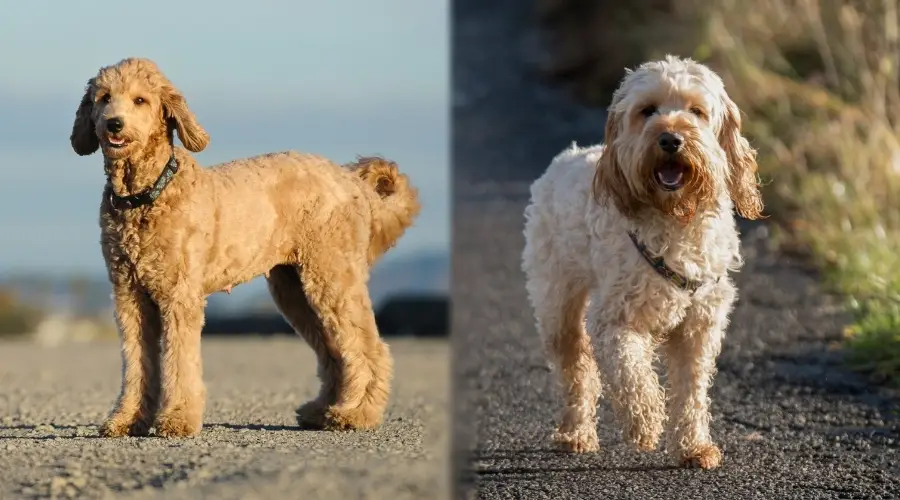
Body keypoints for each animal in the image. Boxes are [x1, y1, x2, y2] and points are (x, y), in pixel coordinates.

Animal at [524, 55, 764, 468]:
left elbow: (691, 391)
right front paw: (646, 421)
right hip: (558, 304)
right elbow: (631, 373)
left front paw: (694, 446)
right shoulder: (614, 320)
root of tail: (566, 156)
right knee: (577, 368)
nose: (670, 139)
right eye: (647, 110)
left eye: (696, 111)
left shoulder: (699, 326)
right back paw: (576, 432)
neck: (675, 218)